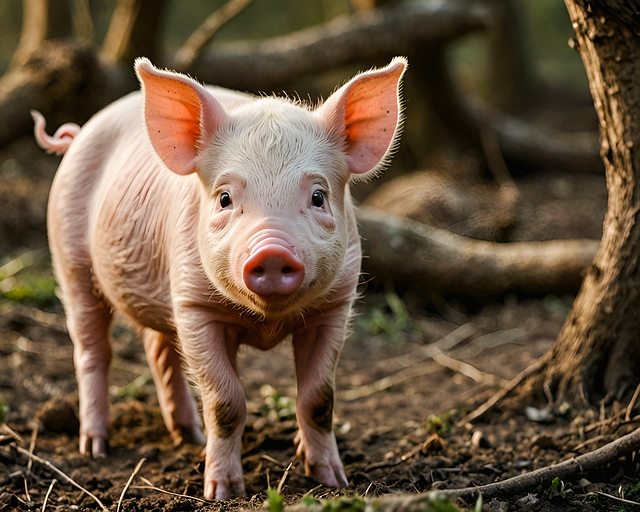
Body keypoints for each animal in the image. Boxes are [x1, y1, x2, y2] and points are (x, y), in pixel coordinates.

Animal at [35, 56, 407, 499]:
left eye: (318, 197)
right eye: (225, 198)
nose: (272, 251)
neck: (266, 321)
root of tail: (79, 135)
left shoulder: (335, 304)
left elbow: (319, 398)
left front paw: (333, 479)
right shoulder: (195, 306)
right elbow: (225, 402)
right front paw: (223, 492)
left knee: (159, 350)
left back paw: (189, 435)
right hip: (70, 259)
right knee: (92, 348)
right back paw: (95, 446)